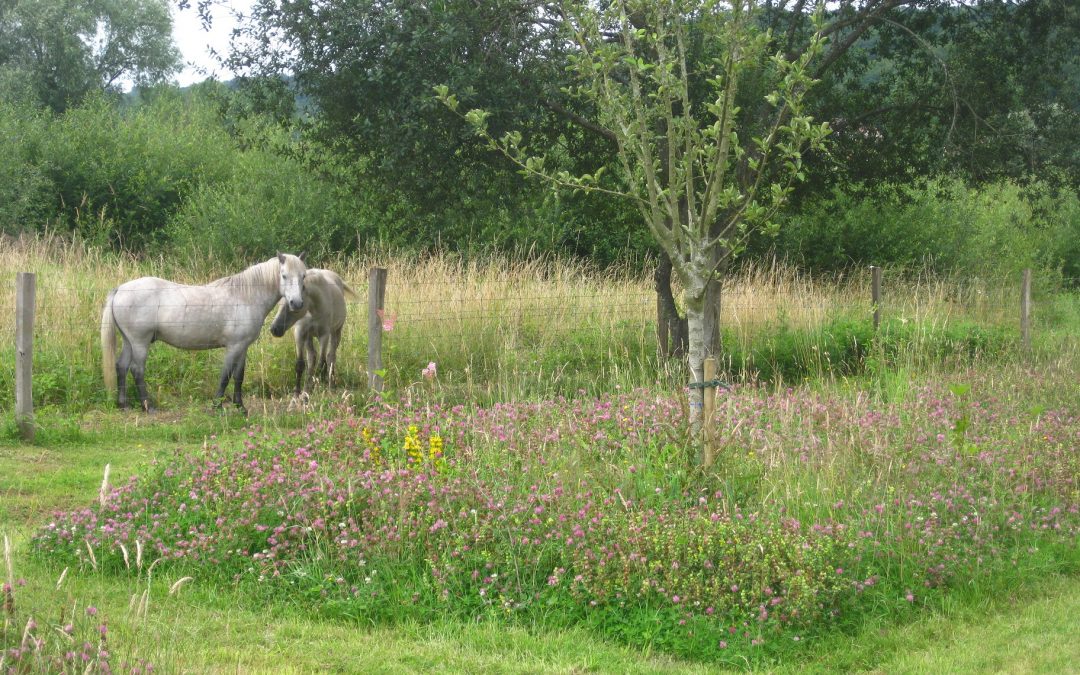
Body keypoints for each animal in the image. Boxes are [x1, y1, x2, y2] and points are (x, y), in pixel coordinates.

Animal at [101, 252, 308, 410]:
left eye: (303, 276)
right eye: (284, 275)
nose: (296, 303)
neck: (245, 296)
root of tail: (120, 289)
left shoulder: (243, 347)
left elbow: (239, 376)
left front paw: (240, 407)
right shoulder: (233, 346)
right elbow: (226, 375)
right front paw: (217, 405)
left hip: (129, 341)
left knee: (121, 366)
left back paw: (123, 404)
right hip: (139, 342)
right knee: (137, 370)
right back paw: (148, 406)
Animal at [268, 266, 358, 395]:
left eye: (292, 304)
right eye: (279, 303)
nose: (274, 329)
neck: (313, 309)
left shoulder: (324, 335)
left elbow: (322, 363)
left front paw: (323, 388)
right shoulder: (300, 333)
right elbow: (300, 364)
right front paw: (297, 393)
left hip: (336, 332)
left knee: (331, 357)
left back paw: (331, 384)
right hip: (309, 336)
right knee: (312, 358)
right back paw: (308, 388)